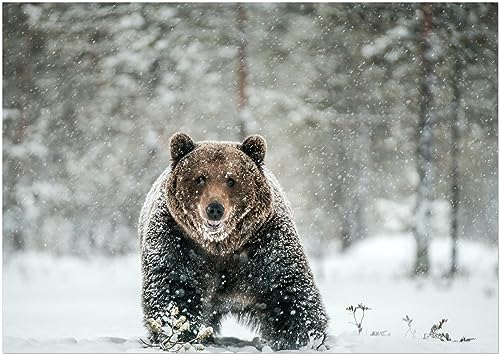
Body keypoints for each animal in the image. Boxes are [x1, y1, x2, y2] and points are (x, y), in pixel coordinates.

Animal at [140, 131, 328, 350]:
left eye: (231, 180)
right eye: (200, 177)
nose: (214, 208)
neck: (221, 245)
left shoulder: (266, 243)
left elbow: (288, 289)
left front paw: (301, 339)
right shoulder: (177, 241)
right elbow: (174, 289)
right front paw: (179, 335)